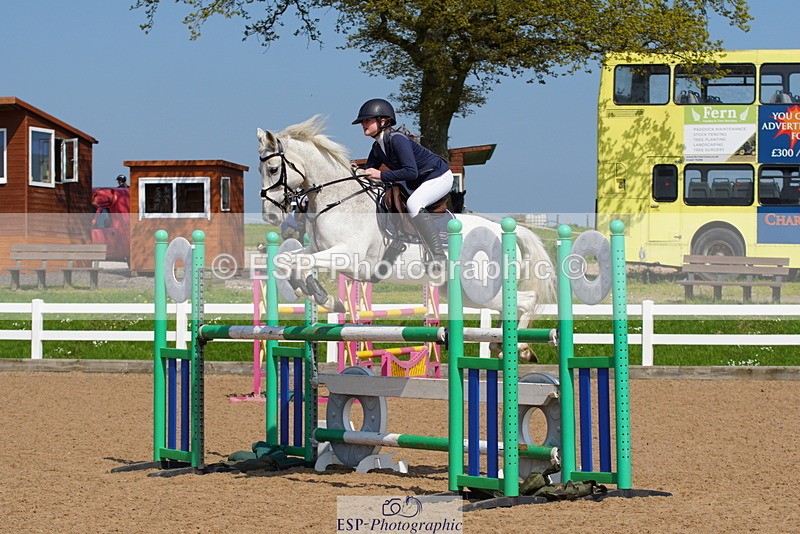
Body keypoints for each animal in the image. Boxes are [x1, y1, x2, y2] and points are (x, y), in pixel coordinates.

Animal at [258, 116, 554, 361]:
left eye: (272, 169)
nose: (270, 215)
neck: (339, 199)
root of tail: (506, 231)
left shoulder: (347, 257)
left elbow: (299, 263)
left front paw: (323, 296)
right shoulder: (319, 251)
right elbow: (288, 260)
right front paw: (315, 293)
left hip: (478, 287)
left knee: (526, 301)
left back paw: (521, 348)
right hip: (461, 291)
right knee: (509, 305)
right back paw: (499, 345)